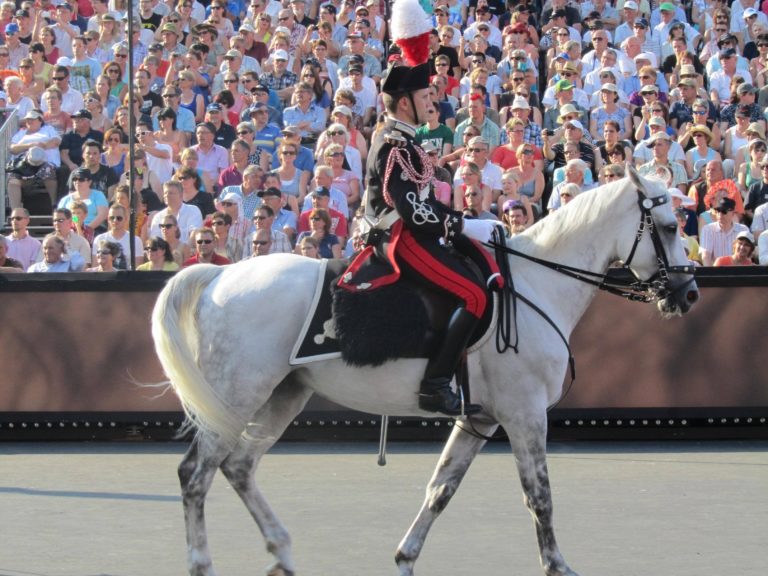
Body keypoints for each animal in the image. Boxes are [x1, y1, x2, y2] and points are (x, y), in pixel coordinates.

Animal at [153, 168, 700, 576]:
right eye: (670, 227)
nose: (689, 294)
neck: (534, 283)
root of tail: (221, 274)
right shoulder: (524, 416)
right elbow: (539, 495)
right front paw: (557, 565)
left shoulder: (480, 419)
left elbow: (441, 488)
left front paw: (405, 556)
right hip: (237, 395)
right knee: (194, 473)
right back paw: (202, 562)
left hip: (280, 396)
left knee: (238, 467)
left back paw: (281, 550)